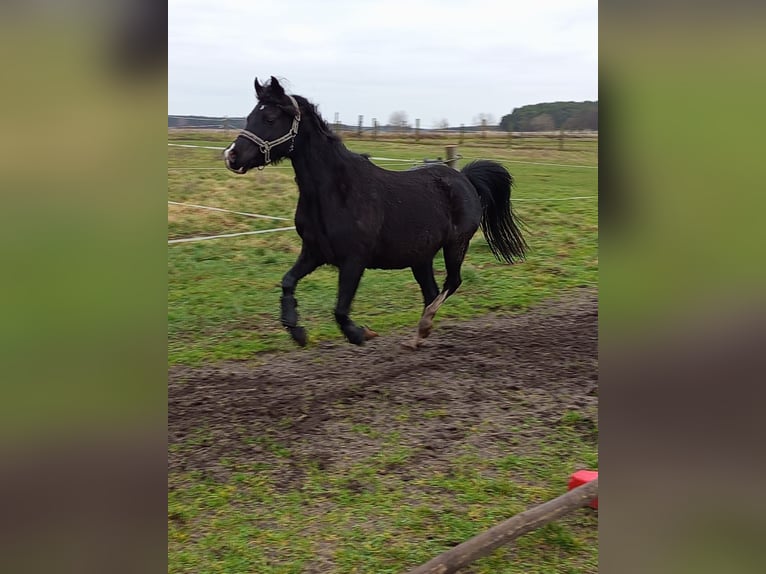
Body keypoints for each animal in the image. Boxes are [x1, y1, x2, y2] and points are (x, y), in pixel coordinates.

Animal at [225, 76, 532, 346]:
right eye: (250, 116)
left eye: (269, 118)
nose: (231, 155)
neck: (337, 191)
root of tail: (465, 178)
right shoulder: (314, 252)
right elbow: (288, 282)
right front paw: (297, 331)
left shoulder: (354, 260)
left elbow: (340, 310)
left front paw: (360, 333)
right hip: (421, 256)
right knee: (431, 291)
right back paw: (419, 337)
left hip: (456, 245)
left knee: (452, 282)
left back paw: (424, 325)